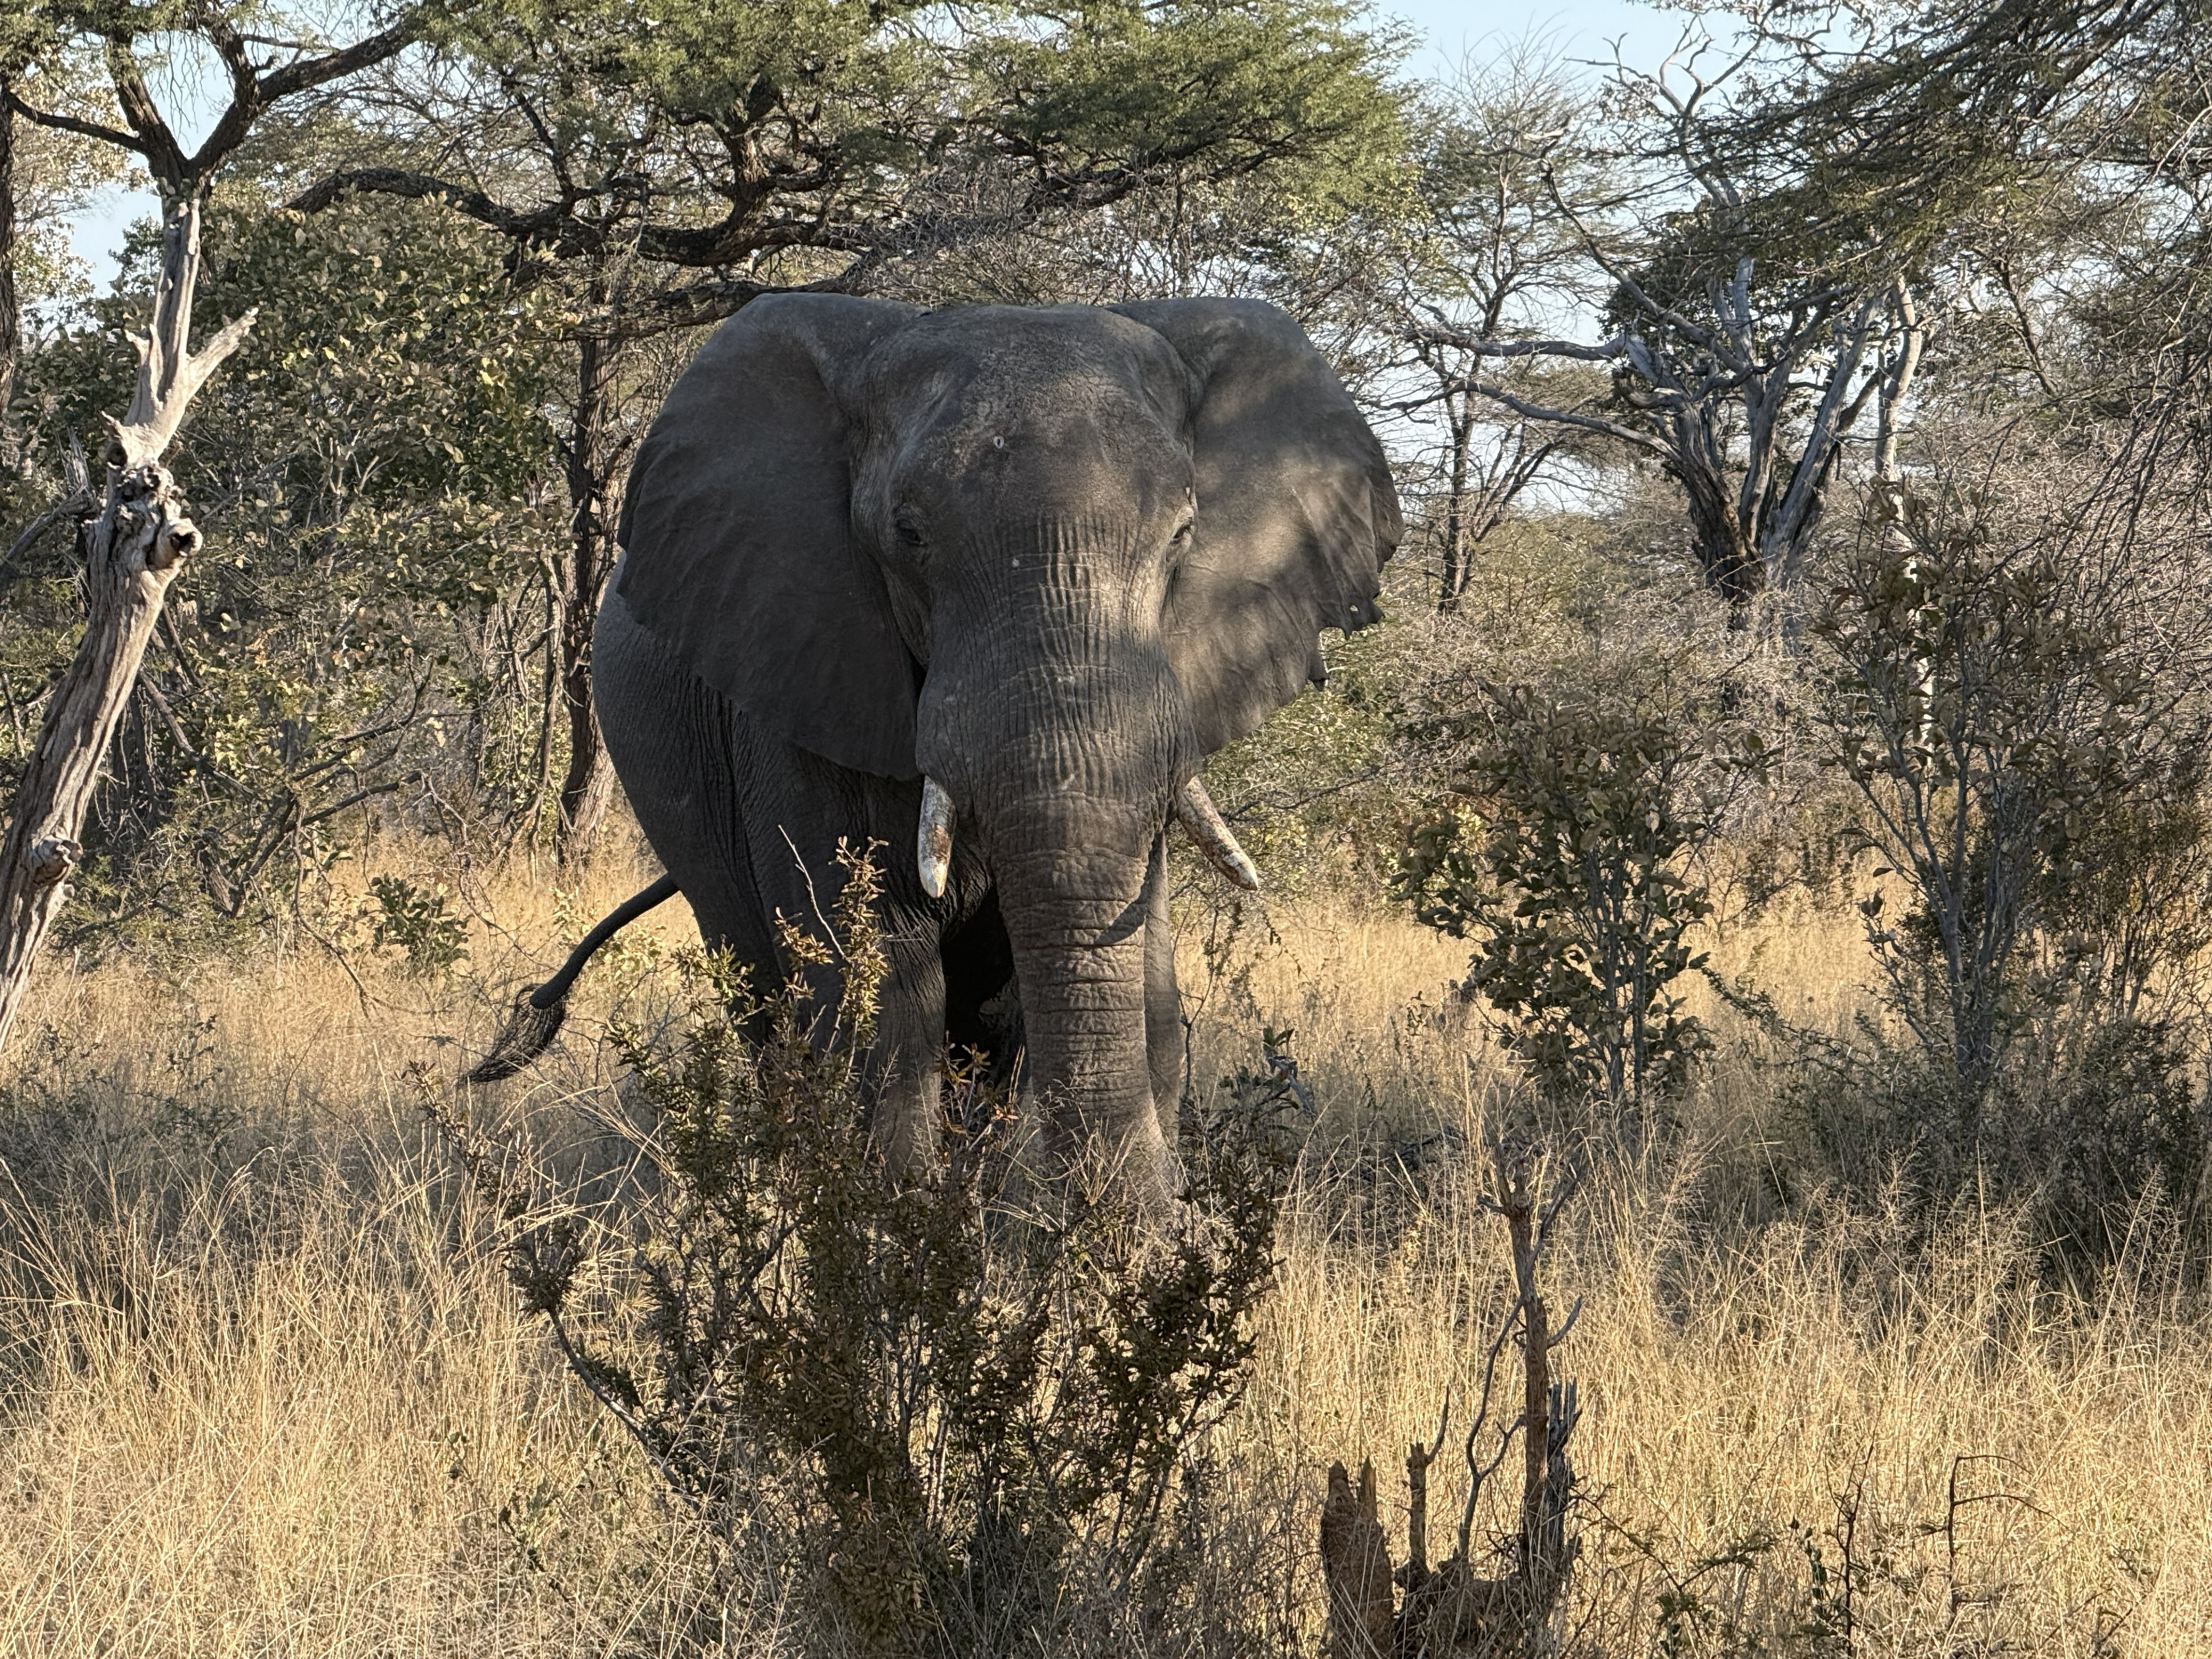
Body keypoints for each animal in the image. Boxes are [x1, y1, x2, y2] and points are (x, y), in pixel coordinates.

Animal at [469, 294, 1399, 1213]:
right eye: (908, 535)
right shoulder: (801, 668)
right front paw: (895, 1232)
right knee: (767, 1001)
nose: (1156, 1221)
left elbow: (1111, 983)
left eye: (1183, 533)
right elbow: (875, 980)